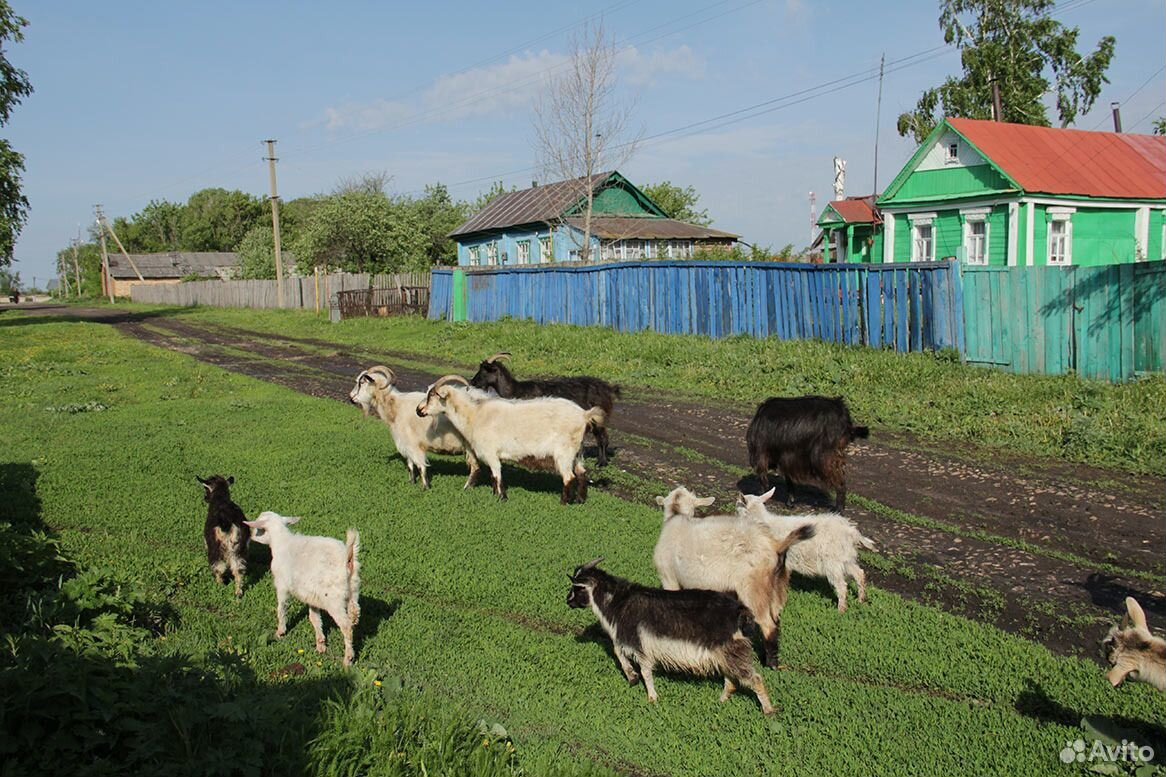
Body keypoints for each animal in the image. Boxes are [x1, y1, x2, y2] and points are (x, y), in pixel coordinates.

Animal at [242, 508, 359, 667]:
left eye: (259, 528)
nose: (251, 536)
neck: (282, 542)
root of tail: (348, 560)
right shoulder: (312, 596)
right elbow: (314, 618)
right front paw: (320, 644)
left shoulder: (282, 585)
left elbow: (281, 609)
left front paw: (280, 632)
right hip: (353, 591)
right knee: (354, 616)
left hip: (334, 600)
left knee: (346, 627)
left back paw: (348, 659)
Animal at [347, 364, 480, 485]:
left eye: (362, 382)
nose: (351, 398)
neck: (396, 407)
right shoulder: (406, 444)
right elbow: (410, 466)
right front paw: (412, 483)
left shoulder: (414, 444)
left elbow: (421, 467)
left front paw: (425, 488)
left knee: (475, 468)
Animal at [415, 373, 606, 501]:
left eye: (432, 395)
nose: (418, 410)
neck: (474, 414)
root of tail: (584, 415)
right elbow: (494, 476)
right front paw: (496, 494)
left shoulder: (490, 452)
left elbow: (497, 474)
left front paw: (501, 498)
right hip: (577, 451)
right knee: (582, 474)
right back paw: (580, 500)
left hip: (564, 452)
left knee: (569, 477)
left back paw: (565, 502)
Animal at [471, 352, 624, 466]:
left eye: (484, 371)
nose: (472, 382)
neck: (517, 390)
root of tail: (608, 388)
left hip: (598, 416)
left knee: (602, 438)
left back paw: (602, 462)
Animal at [736, 487, 876, 606]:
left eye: (738, 507)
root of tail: (851, 531)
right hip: (846, 558)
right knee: (859, 574)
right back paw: (861, 600)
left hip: (833, 562)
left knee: (842, 586)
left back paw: (841, 610)